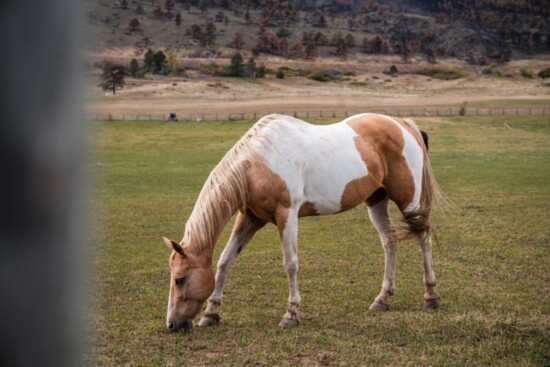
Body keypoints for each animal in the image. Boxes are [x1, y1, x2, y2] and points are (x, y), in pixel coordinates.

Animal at [162, 113, 442, 334]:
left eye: (179, 279)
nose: (172, 325)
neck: (258, 162)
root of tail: (402, 123)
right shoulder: (250, 218)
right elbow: (225, 260)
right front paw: (211, 313)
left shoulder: (286, 215)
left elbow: (291, 264)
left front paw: (291, 315)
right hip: (376, 201)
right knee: (389, 241)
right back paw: (382, 299)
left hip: (409, 201)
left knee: (424, 238)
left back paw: (431, 296)